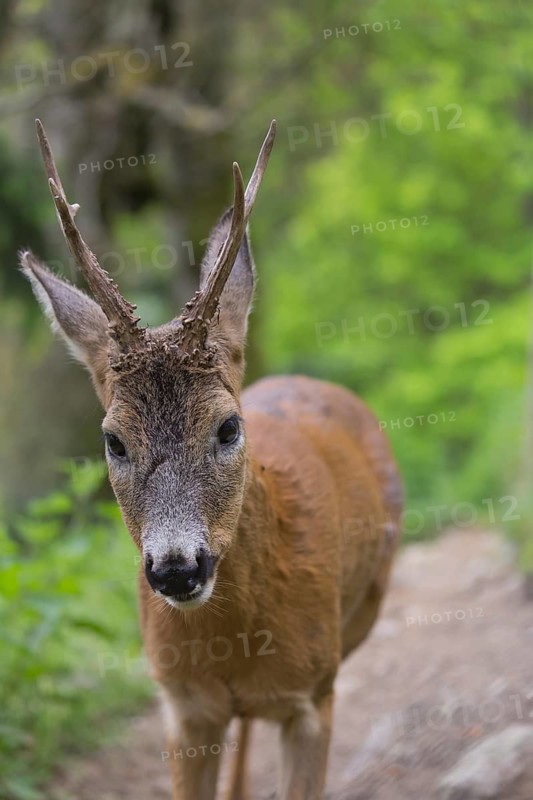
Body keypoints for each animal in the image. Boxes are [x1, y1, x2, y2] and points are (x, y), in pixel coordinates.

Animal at [21, 118, 403, 800]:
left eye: (228, 426)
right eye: (112, 440)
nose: (178, 569)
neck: (233, 641)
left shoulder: (315, 697)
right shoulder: (183, 708)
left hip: (362, 614)